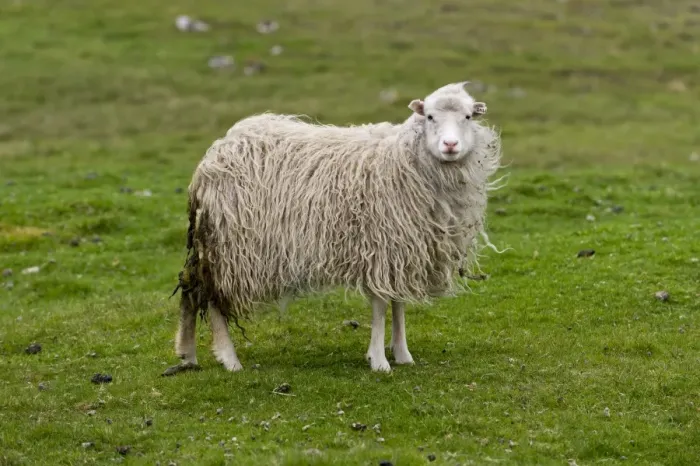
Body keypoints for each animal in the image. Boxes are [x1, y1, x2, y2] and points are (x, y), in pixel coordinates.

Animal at [164, 81, 502, 376]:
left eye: (468, 117)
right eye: (430, 116)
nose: (450, 145)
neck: (404, 158)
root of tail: (216, 153)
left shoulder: (402, 248)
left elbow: (398, 303)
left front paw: (402, 352)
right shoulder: (380, 244)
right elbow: (381, 306)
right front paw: (379, 360)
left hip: (214, 242)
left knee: (190, 287)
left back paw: (187, 354)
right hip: (231, 247)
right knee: (212, 297)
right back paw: (229, 358)